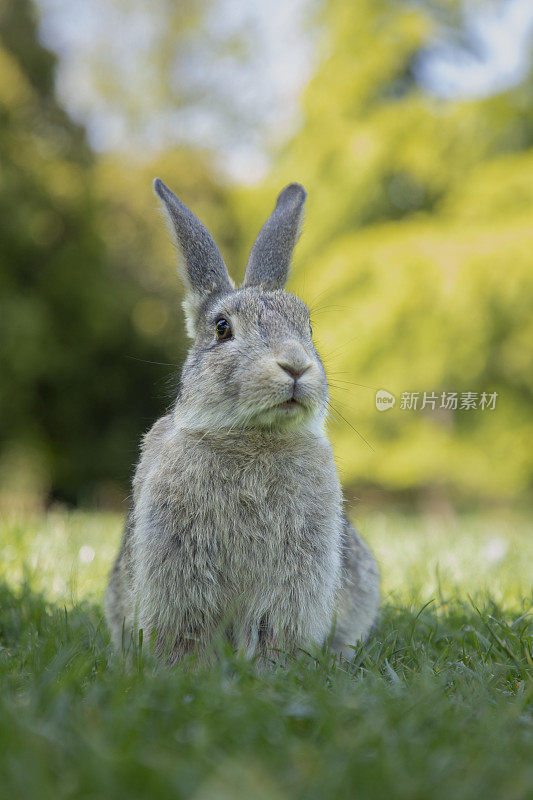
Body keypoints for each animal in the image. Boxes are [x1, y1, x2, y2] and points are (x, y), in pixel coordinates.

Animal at [104, 180, 378, 664]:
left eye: (308, 326)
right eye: (222, 328)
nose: (295, 365)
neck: (251, 435)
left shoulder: (294, 580)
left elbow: (274, 629)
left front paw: (274, 669)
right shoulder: (179, 572)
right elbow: (188, 632)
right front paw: (186, 671)